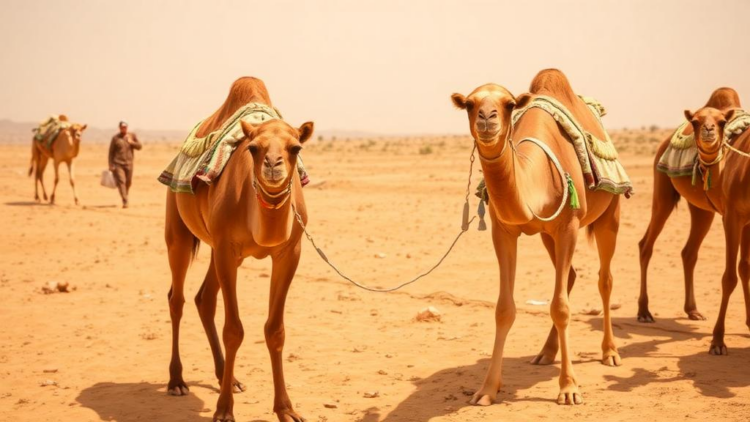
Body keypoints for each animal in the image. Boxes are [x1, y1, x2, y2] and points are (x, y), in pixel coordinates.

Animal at [164, 77, 313, 422]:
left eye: (296, 148)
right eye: (253, 148)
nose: (273, 166)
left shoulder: (289, 253)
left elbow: (275, 330)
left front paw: (286, 409)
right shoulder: (226, 250)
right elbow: (233, 330)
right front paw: (223, 411)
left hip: (220, 250)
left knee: (204, 298)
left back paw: (227, 378)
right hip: (178, 232)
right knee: (177, 298)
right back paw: (177, 380)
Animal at [450, 69, 623, 406]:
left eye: (508, 104)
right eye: (469, 104)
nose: (487, 118)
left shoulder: (568, 225)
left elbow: (562, 307)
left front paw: (569, 388)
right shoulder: (504, 231)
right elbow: (504, 309)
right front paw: (487, 390)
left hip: (610, 214)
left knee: (605, 279)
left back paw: (610, 352)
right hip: (546, 235)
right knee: (569, 275)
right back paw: (545, 353)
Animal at [640, 100, 750, 355]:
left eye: (722, 122)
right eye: (696, 121)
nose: (708, 131)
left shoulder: (747, 220)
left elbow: (745, 268)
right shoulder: (732, 216)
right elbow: (729, 276)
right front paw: (717, 341)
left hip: (702, 209)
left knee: (689, 252)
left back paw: (693, 310)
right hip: (663, 195)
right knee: (646, 245)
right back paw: (644, 311)